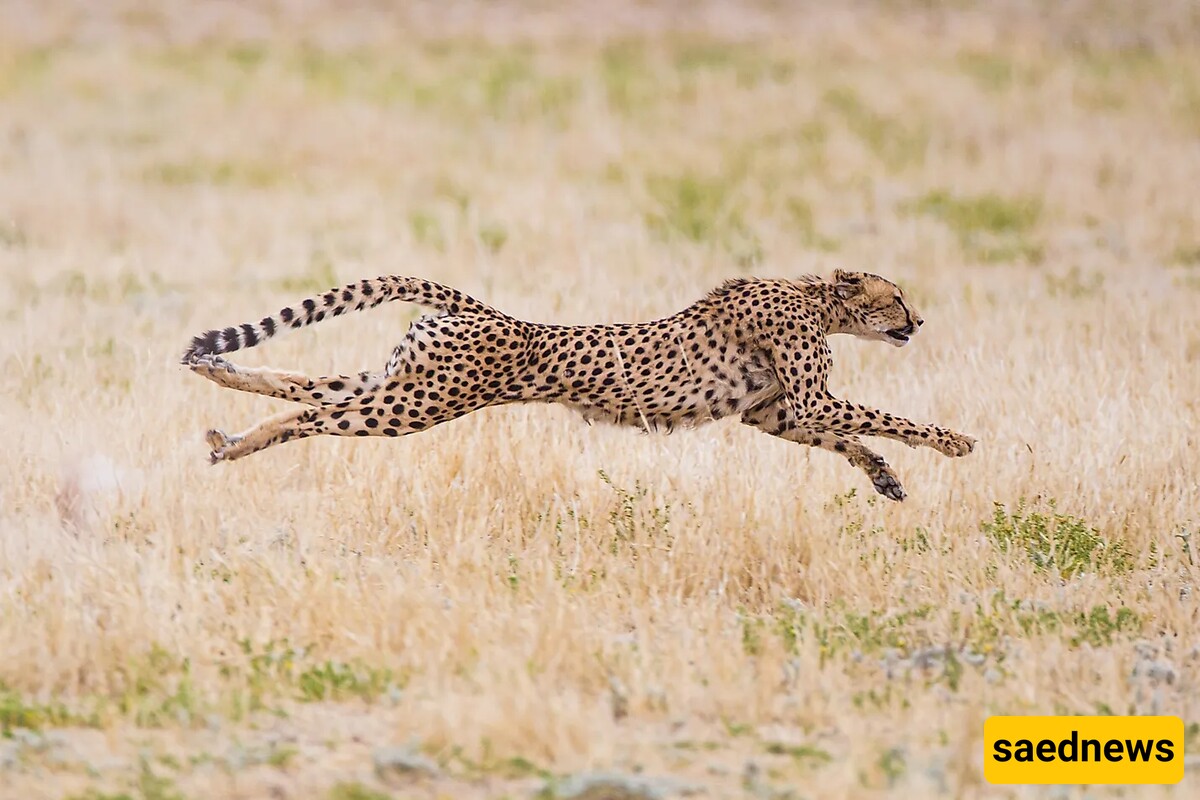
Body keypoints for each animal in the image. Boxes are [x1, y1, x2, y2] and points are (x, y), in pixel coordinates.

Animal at [182, 272, 979, 503]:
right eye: (894, 297)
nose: (918, 319)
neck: (815, 296)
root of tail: (484, 309)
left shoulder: (775, 414)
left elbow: (848, 436)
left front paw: (886, 477)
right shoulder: (804, 398)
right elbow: (883, 416)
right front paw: (955, 441)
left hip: (403, 380)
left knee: (309, 387)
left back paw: (221, 390)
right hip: (417, 403)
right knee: (318, 414)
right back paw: (232, 442)